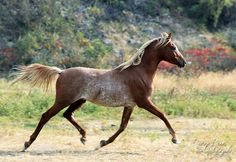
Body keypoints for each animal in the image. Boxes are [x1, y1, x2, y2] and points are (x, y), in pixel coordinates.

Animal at [12, 32, 186, 151]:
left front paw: (102, 143)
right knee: (46, 116)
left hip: (79, 100)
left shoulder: (130, 104)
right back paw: (27, 143)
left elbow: (122, 126)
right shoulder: (143, 102)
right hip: (64, 100)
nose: (183, 62)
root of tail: (61, 72)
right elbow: (163, 115)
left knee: (67, 115)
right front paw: (175, 138)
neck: (138, 72)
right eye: (173, 47)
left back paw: (84, 137)